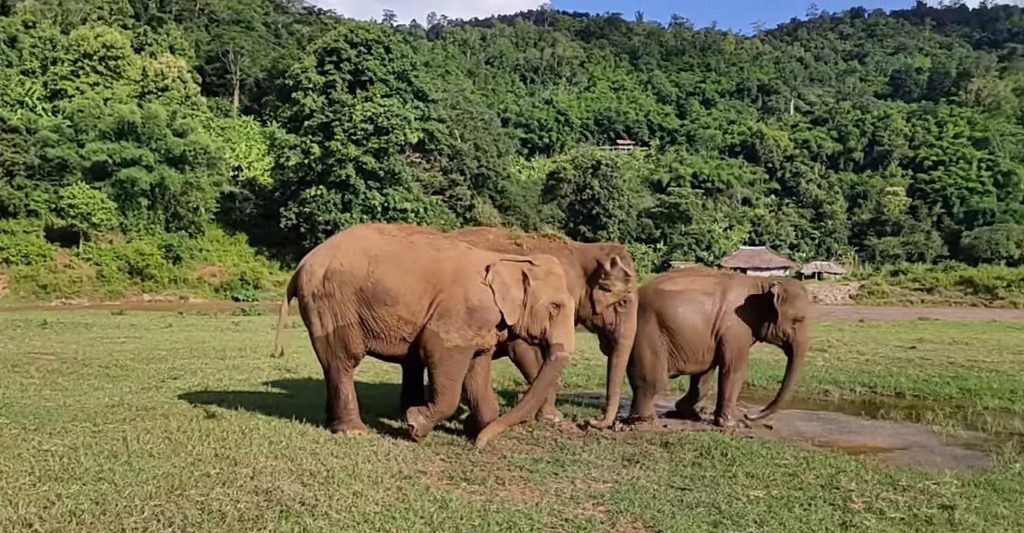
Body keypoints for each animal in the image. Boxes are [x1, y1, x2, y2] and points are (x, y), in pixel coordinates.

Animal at [270, 221, 577, 446]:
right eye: (555, 306)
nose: (480, 445)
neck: (509, 260)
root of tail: (300, 266)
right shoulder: (459, 316)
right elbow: (440, 355)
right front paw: (415, 425)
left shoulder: (482, 326)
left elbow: (477, 369)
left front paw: (475, 428)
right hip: (333, 303)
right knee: (344, 359)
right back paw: (354, 431)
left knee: (332, 363)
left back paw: (331, 422)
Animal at [622, 265, 806, 427]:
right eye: (798, 320)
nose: (748, 416)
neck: (761, 284)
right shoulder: (735, 328)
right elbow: (733, 369)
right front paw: (730, 424)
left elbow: (704, 373)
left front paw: (690, 414)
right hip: (646, 331)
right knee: (652, 381)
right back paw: (644, 422)